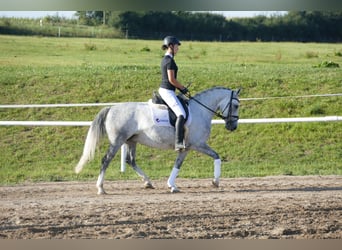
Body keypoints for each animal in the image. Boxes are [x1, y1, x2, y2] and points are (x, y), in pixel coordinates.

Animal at [75, 87, 240, 194]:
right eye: (236, 105)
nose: (232, 126)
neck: (201, 110)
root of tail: (111, 108)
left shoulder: (186, 148)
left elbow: (177, 165)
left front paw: (172, 185)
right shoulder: (198, 144)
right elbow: (216, 156)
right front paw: (215, 182)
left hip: (131, 141)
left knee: (130, 160)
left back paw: (148, 182)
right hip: (117, 141)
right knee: (106, 160)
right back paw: (101, 188)